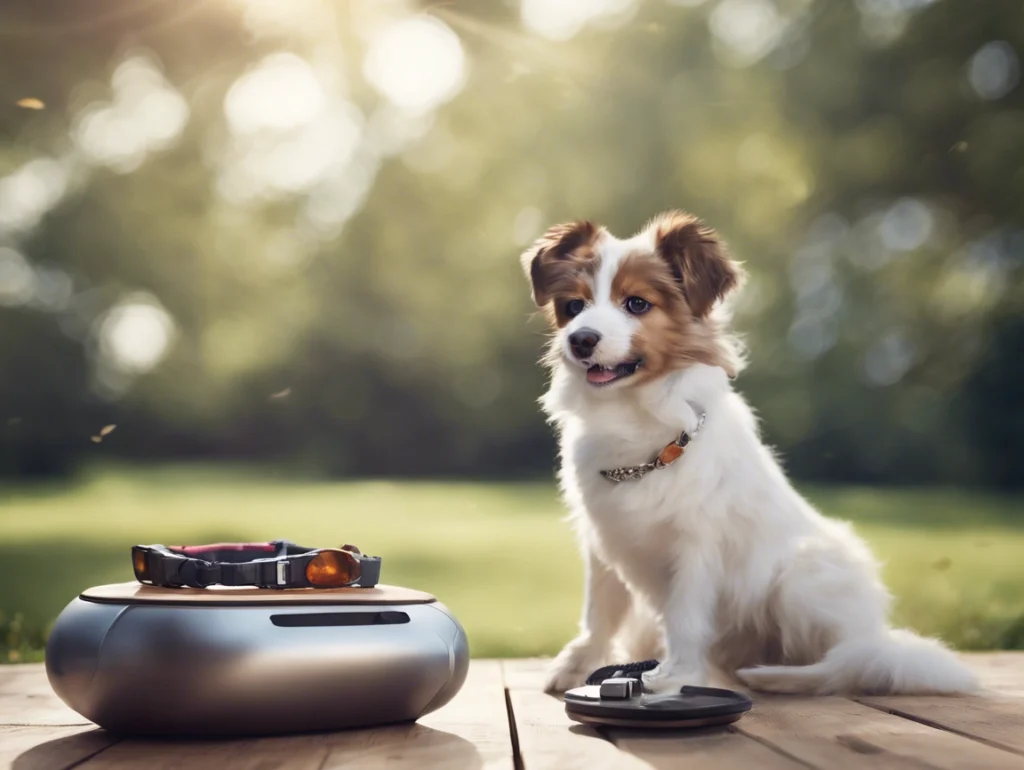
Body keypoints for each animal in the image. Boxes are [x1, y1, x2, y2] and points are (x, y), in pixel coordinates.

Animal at [520, 210, 974, 696]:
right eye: (573, 307)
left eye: (637, 304)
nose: (580, 340)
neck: (637, 423)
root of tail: (875, 631)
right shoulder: (603, 541)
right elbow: (599, 613)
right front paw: (578, 665)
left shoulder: (696, 546)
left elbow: (684, 616)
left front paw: (675, 676)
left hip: (801, 578)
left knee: (847, 662)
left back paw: (772, 676)